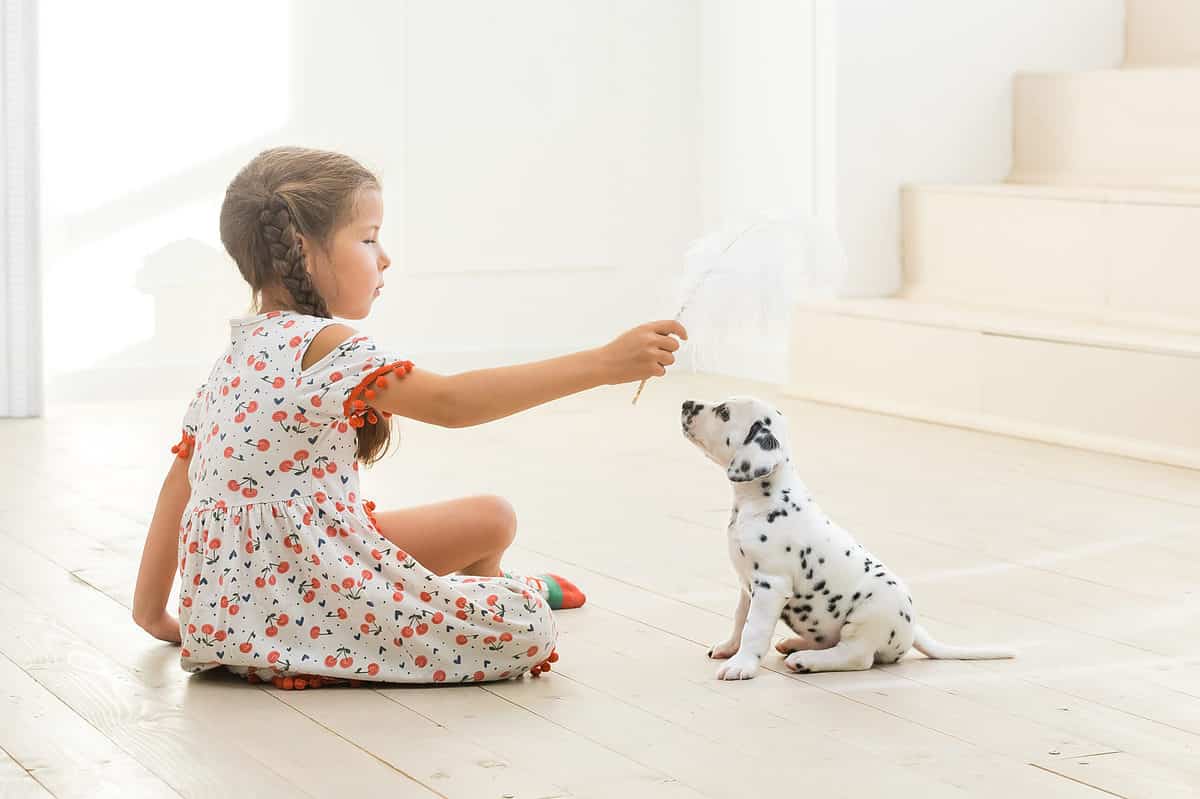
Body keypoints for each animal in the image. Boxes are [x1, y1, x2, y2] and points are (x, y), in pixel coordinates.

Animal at [686, 395, 1012, 676]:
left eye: (724, 413)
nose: (686, 404)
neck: (763, 500)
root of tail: (913, 629)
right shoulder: (746, 586)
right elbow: (740, 621)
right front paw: (729, 648)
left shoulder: (770, 586)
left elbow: (754, 629)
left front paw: (741, 666)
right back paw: (795, 644)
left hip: (867, 616)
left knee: (857, 657)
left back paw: (806, 660)